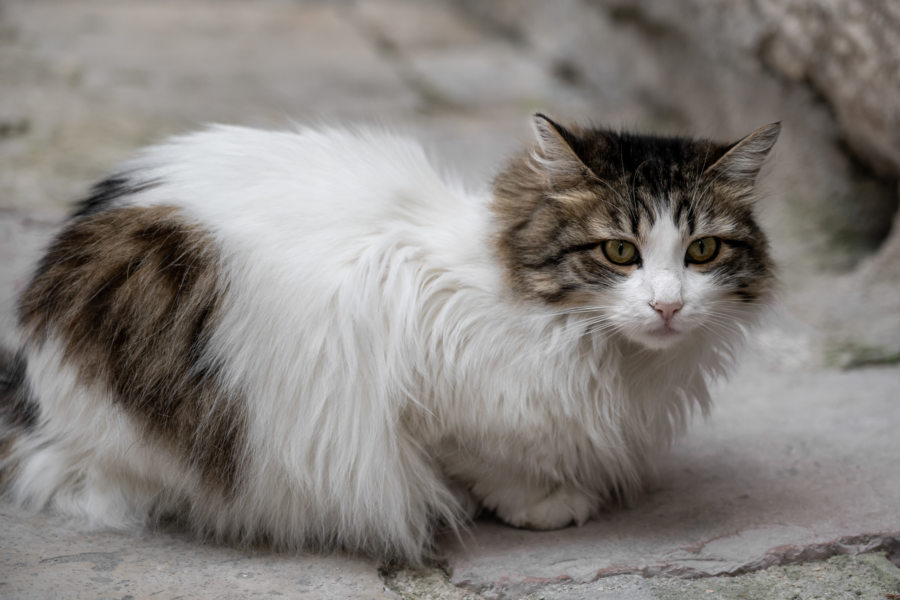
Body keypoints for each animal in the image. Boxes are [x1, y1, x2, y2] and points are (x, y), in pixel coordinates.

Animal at [0, 115, 776, 564]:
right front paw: (541, 501)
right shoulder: (426, 398)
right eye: (619, 252)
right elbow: (483, 458)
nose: (668, 305)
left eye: (702, 252)